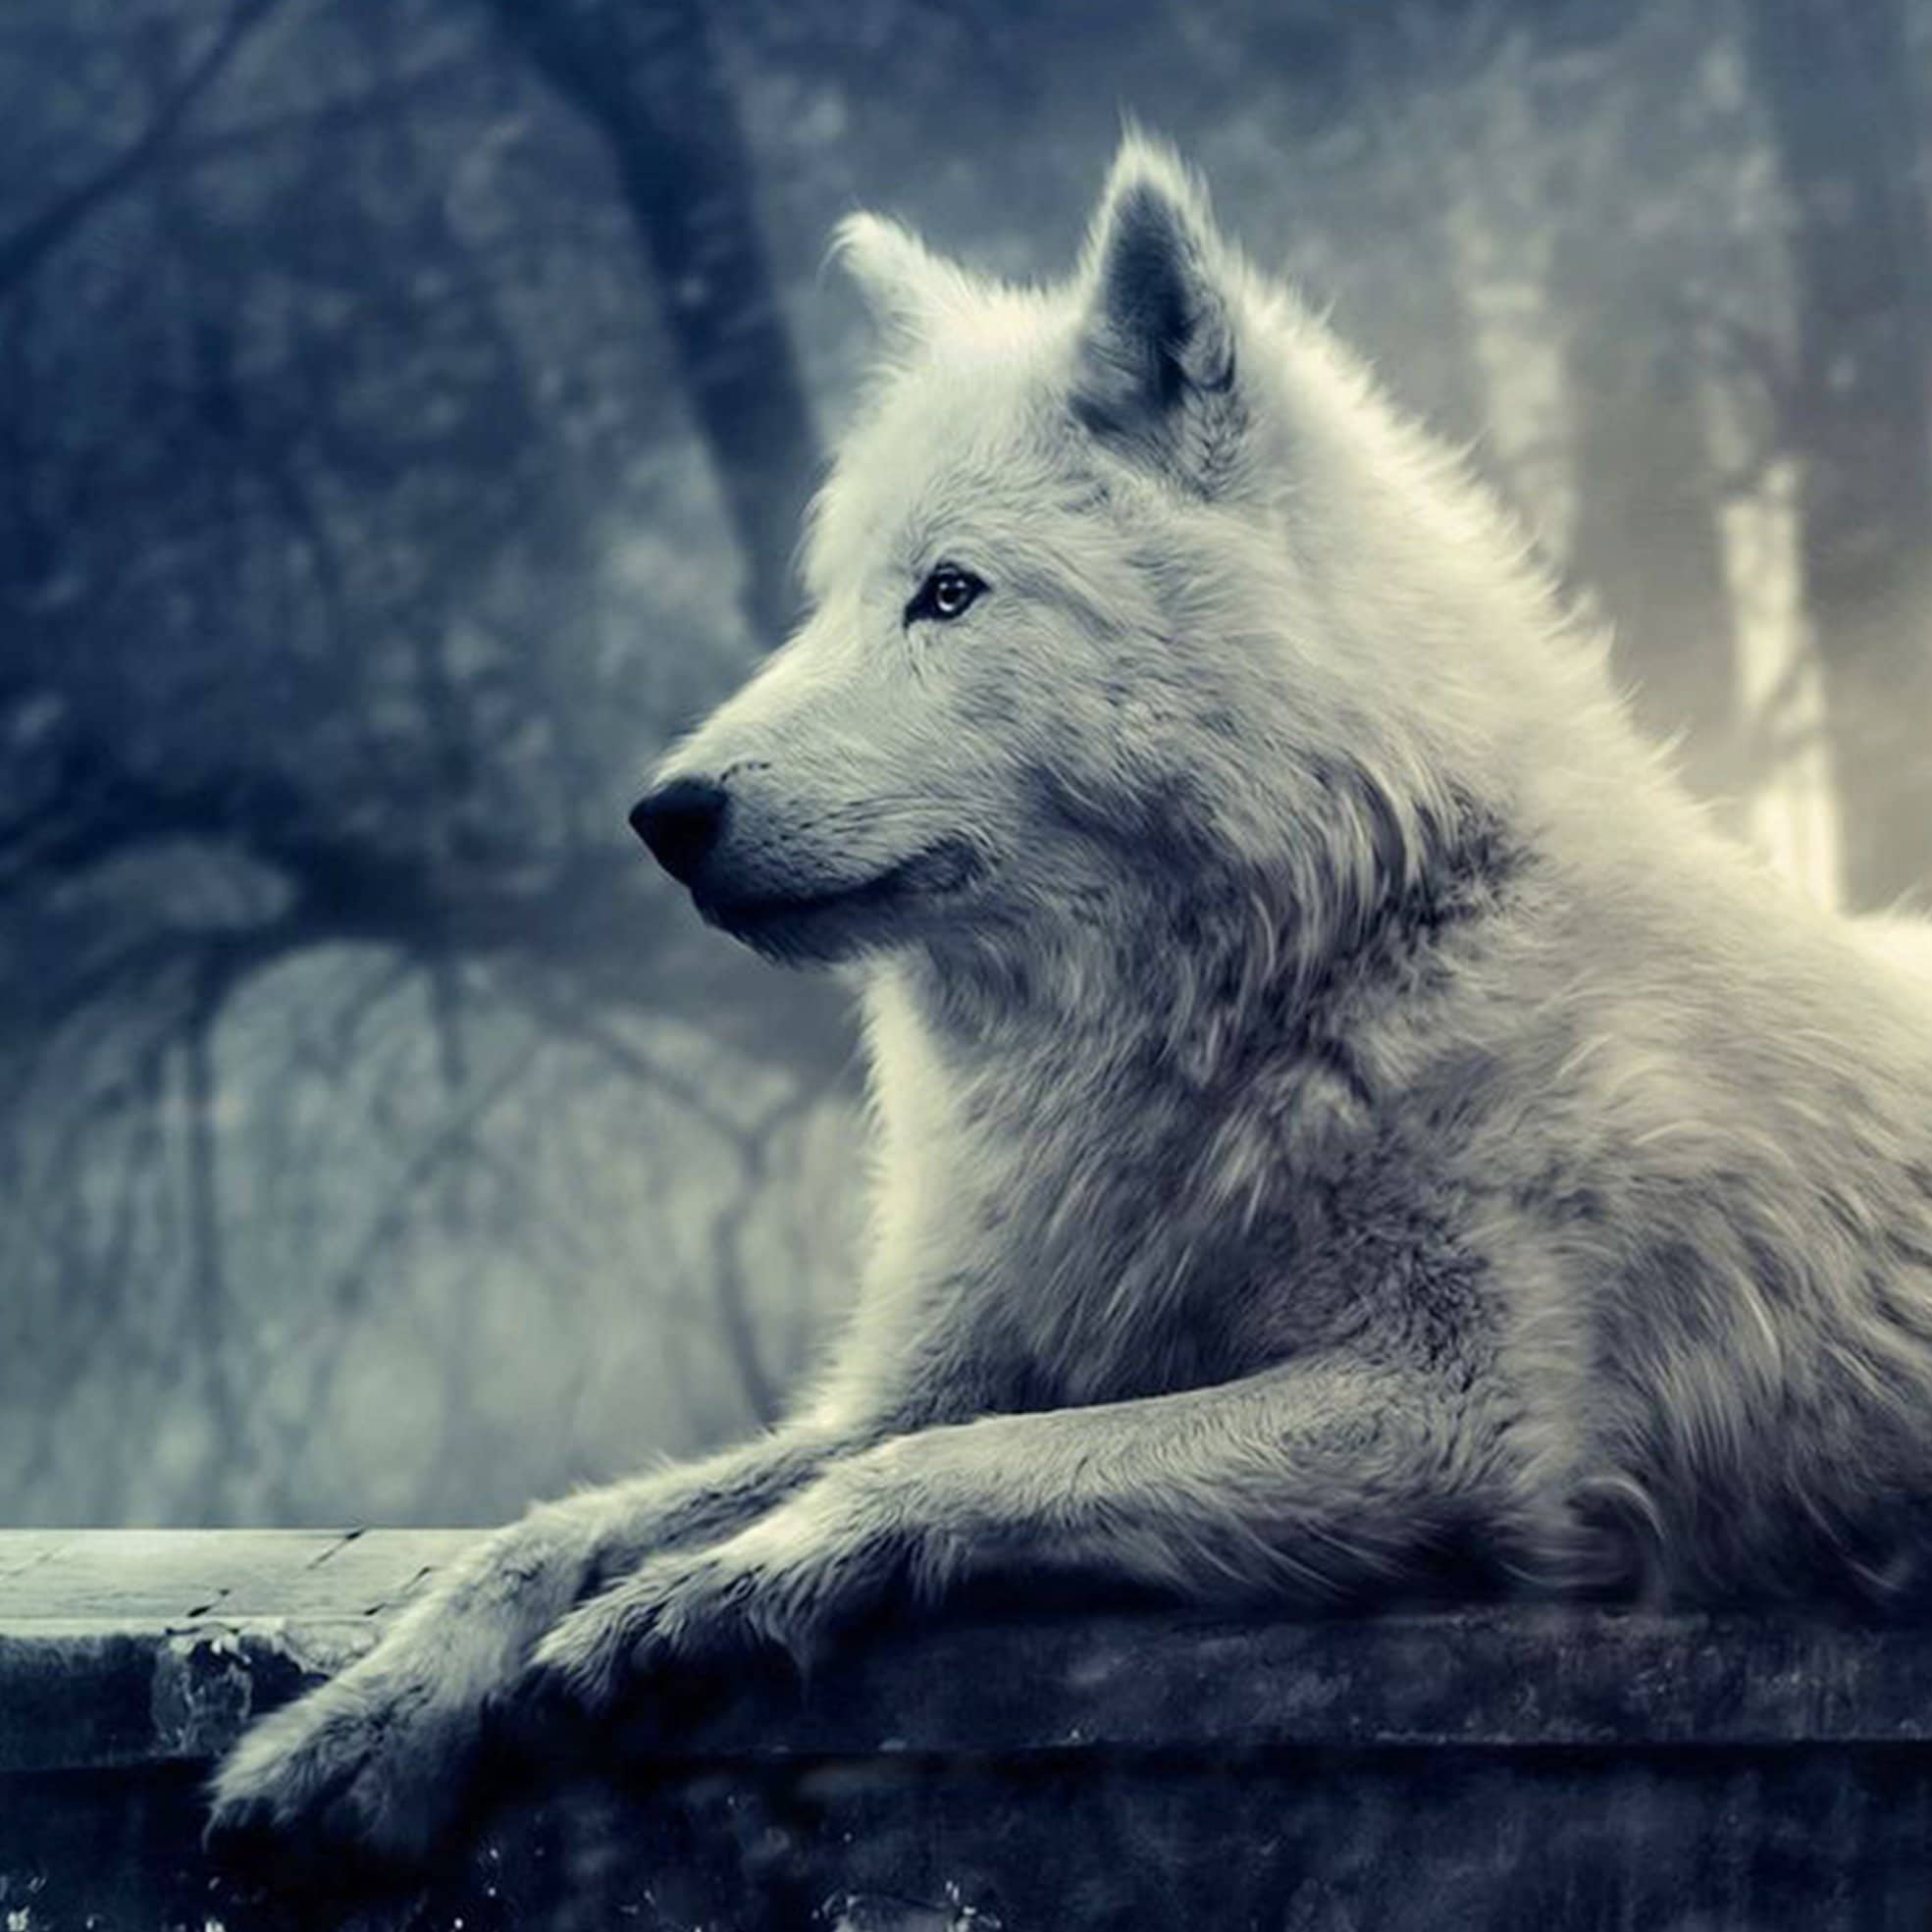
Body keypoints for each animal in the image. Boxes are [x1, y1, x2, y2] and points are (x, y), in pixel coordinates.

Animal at [212, 138, 1932, 1861]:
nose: (664, 813)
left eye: (950, 594)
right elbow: (555, 1529)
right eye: (831, 600)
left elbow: (960, 1466)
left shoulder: (1463, 1423)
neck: (1307, 973)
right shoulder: (927, 1371)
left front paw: (717, 1588)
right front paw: (357, 1725)